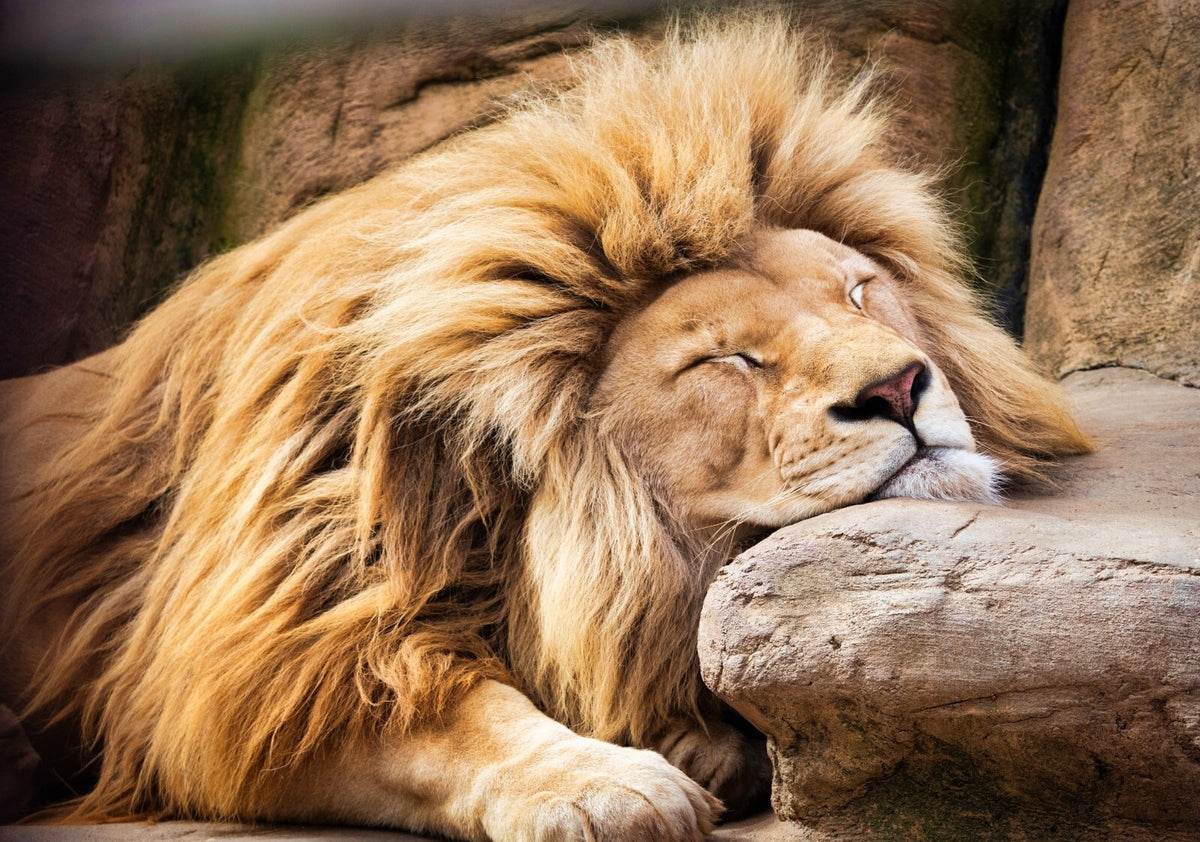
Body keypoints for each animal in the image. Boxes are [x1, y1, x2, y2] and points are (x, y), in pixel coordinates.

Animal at [0, 15, 1090, 841]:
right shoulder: (254, 661)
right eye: (727, 359)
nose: (901, 388)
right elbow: (456, 717)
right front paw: (611, 782)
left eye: (861, 291)